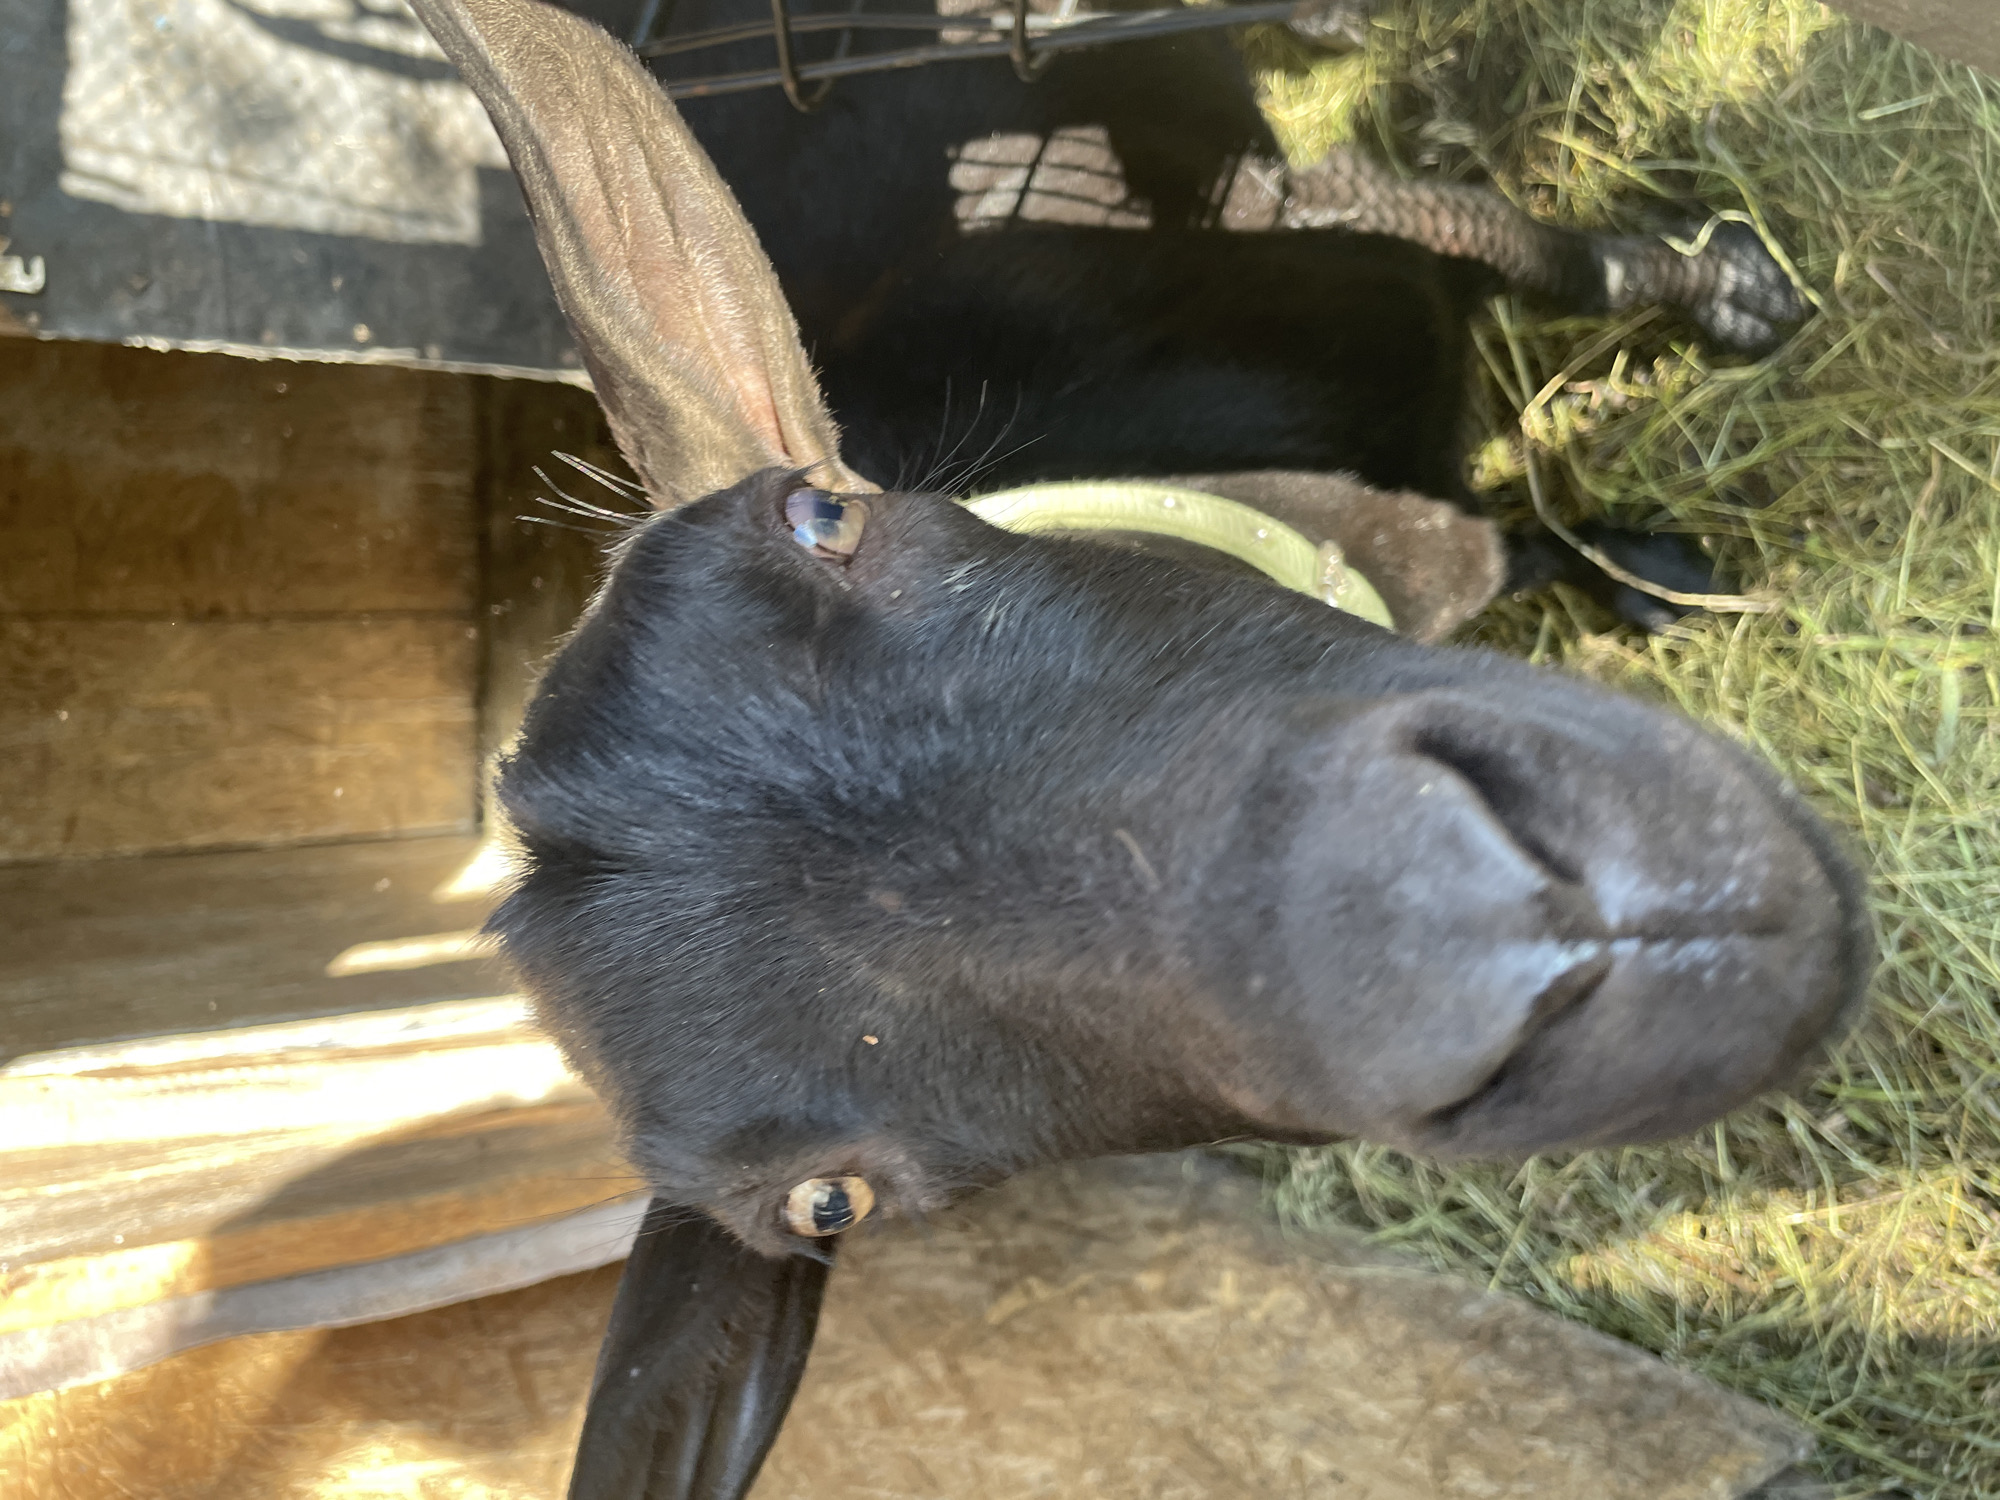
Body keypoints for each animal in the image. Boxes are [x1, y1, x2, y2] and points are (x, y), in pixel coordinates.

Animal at [404, 1, 1870, 1496]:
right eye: (831, 1203)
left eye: (825, 515)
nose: (1556, 942)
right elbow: (1526, 533)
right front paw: (1660, 571)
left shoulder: (1335, 228)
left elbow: (1558, 262)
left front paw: (1731, 315)